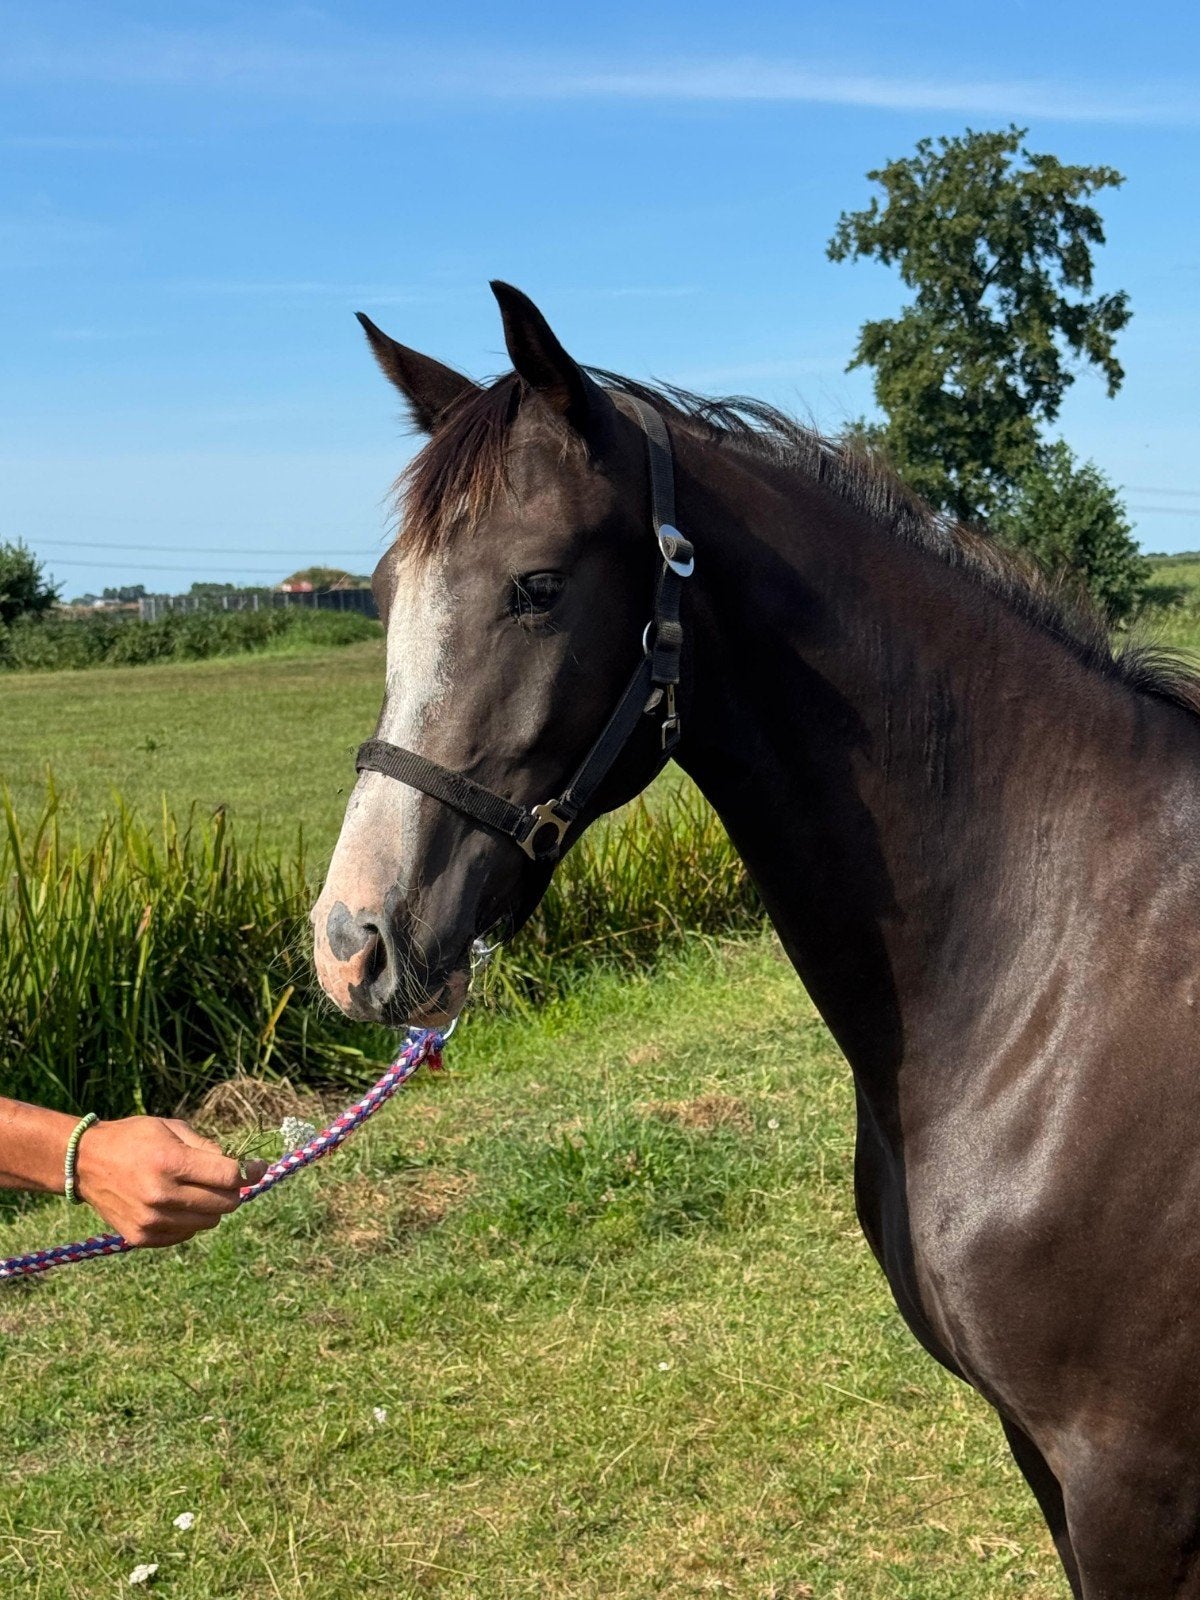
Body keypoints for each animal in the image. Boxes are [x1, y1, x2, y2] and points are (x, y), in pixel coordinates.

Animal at [313, 281, 1200, 1597]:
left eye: (536, 586)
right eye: (378, 592)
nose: (352, 942)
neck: (1060, 953)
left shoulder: (1132, 1476)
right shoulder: (1046, 1458)